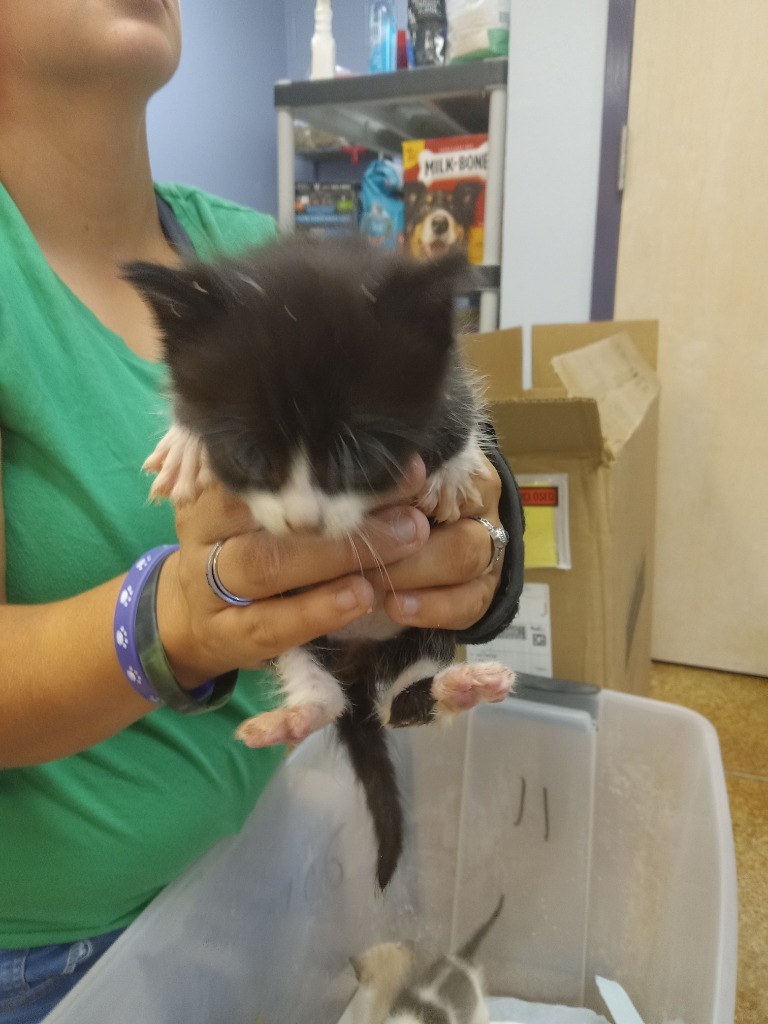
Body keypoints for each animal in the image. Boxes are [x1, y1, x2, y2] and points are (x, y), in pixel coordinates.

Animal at [126, 234, 518, 888]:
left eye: (359, 455)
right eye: (249, 455)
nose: (303, 524)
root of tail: (357, 673)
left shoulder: (443, 376)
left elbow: (460, 404)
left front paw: (459, 467)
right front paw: (186, 446)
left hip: (422, 630)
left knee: (401, 703)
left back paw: (459, 685)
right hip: (295, 631)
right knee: (338, 694)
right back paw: (300, 713)